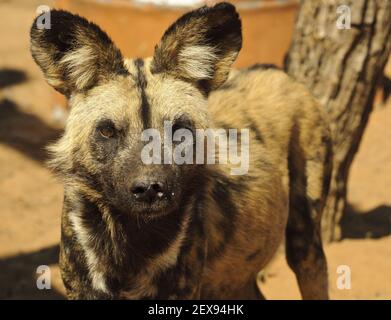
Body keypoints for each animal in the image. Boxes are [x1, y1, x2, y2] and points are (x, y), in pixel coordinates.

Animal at [29, 2, 334, 298]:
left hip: (305, 245)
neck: (133, 238)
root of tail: (275, 70)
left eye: (179, 130)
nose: (149, 189)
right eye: (107, 131)